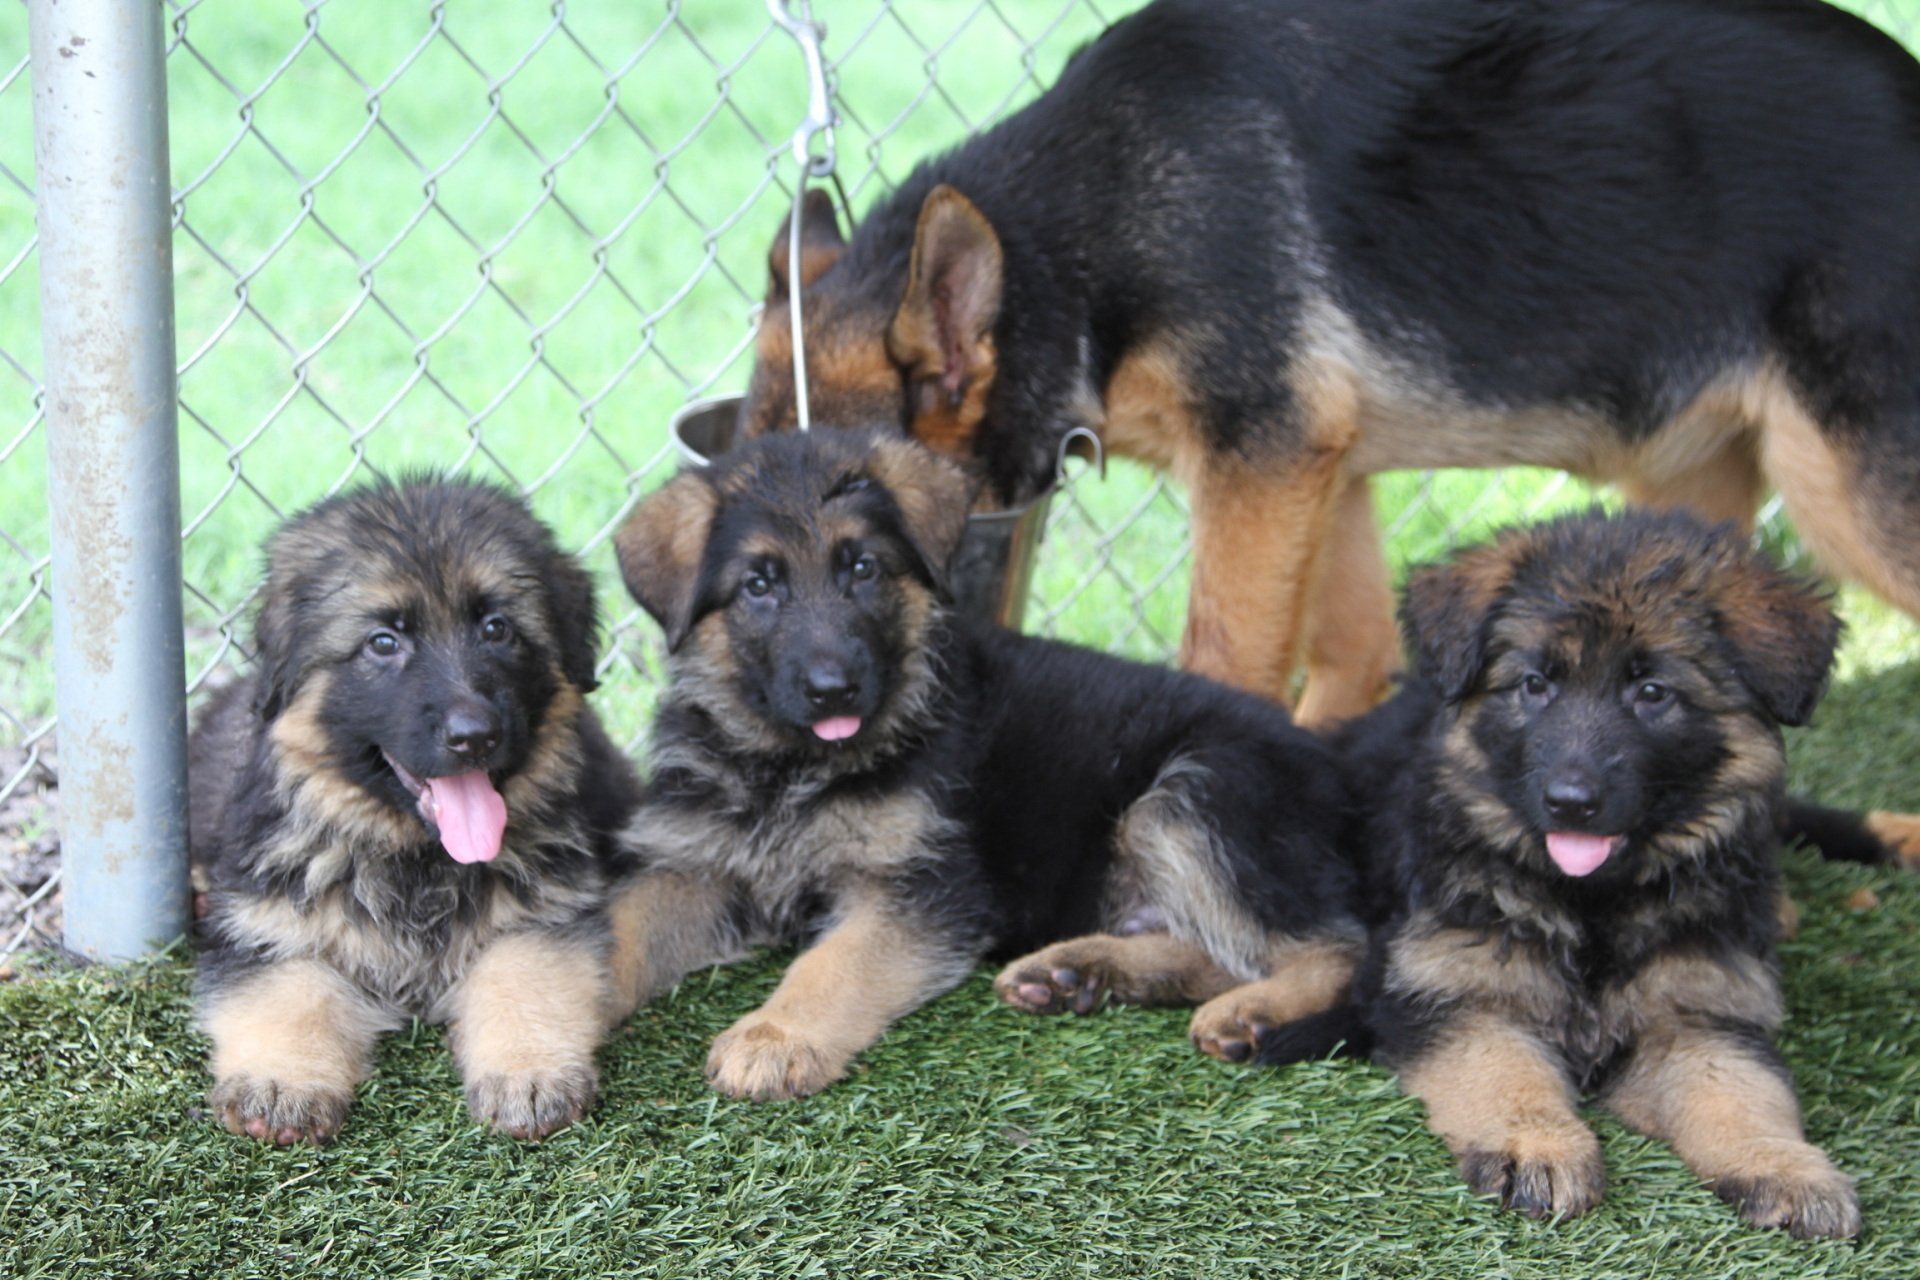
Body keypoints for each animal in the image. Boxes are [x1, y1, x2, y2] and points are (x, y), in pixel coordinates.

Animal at [190, 478, 642, 1144]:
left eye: (497, 628)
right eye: (384, 642)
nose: (474, 736)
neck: (416, 858)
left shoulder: (544, 913)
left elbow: (525, 975)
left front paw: (528, 1073)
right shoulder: (265, 923)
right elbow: (289, 990)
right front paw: (280, 1084)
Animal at [606, 429, 1361, 1100]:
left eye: (863, 569)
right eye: (759, 586)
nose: (833, 689)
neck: (788, 767)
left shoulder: (926, 886)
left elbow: (834, 963)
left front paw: (777, 1036)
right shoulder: (696, 867)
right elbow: (616, 931)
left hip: (1195, 794)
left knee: (1338, 950)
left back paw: (1251, 1012)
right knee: (1221, 950)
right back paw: (1077, 972)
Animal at [737, 0, 1920, 728]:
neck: (1080, 241)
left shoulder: (1258, 467)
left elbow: (1224, 655)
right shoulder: (1320, 470)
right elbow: (1351, 647)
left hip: (1850, 492)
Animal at [1254, 509, 1866, 1237]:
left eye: (1652, 692)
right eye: (1535, 684)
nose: (1571, 801)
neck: (1590, 904)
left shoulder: (1702, 1015)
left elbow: (1743, 1092)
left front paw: (1785, 1165)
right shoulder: (1458, 991)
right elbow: (1503, 1071)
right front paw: (1537, 1145)